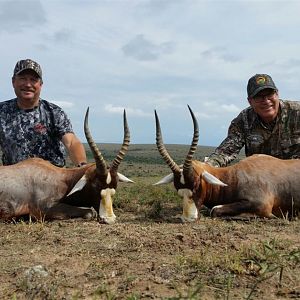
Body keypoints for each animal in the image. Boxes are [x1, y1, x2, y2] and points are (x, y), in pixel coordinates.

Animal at [0, 107, 132, 223]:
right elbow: (90, 212)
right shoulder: (42, 210)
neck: (62, 178)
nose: (109, 219)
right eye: (95, 185)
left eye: (115, 186)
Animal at [155, 105, 300, 220]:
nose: (188, 218)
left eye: (196, 184)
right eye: (177, 188)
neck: (234, 175)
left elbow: (214, 210)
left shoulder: (262, 204)